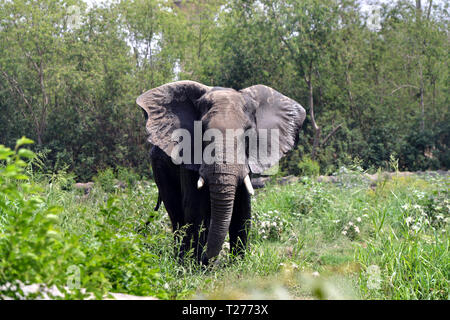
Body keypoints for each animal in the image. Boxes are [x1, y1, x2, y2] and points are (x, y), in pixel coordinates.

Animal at [137, 80, 306, 264]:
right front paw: (196, 265)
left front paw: (238, 264)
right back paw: (180, 258)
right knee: (176, 214)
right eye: (202, 130)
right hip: (158, 165)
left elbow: (242, 208)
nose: (208, 260)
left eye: (248, 132)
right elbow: (195, 209)